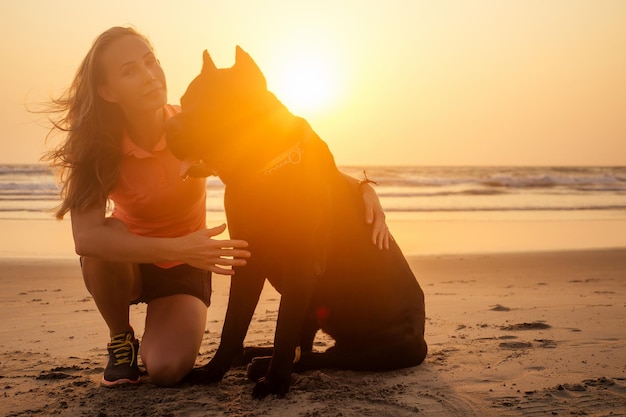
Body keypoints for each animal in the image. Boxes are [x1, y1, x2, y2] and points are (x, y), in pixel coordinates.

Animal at [163, 44, 426, 396]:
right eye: (184, 100)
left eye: (212, 104)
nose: (167, 129)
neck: (264, 169)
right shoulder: (248, 261)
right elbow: (234, 323)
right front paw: (212, 371)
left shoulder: (302, 266)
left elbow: (283, 327)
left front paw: (275, 382)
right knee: (306, 346)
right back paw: (254, 355)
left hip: (387, 345)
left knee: (326, 355)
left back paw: (265, 364)